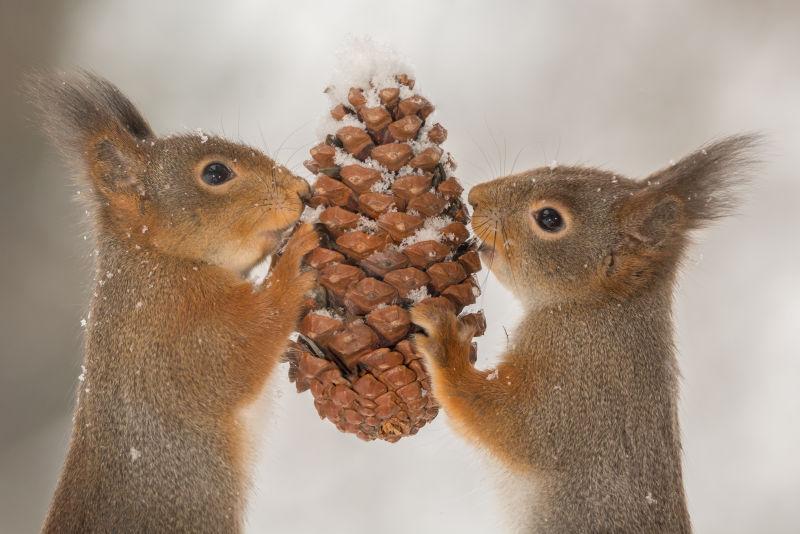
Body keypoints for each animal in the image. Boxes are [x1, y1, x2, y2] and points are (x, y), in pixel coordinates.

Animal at [28, 72, 316, 534]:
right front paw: (292, 266)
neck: (159, 259)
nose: (302, 190)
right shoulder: (174, 335)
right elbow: (238, 354)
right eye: (215, 172)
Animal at [412, 136, 756, 532]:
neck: (594, 309)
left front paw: (446, 343)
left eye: (549, 218)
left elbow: (510, 423)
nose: (476, 197)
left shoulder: (576, 388)